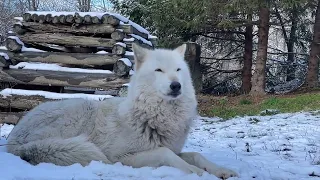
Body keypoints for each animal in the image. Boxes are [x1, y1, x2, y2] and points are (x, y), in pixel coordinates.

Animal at [6, 43, 238, 179]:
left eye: (178, 70)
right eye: (159, 70)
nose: (176, 86)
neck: (155, 115)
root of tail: (13, 140)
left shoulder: (174, 148)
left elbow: (197, 155)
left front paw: (222, 170)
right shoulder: (123, 157)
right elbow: (168, 155)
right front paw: (198, 173)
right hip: (77, 113)